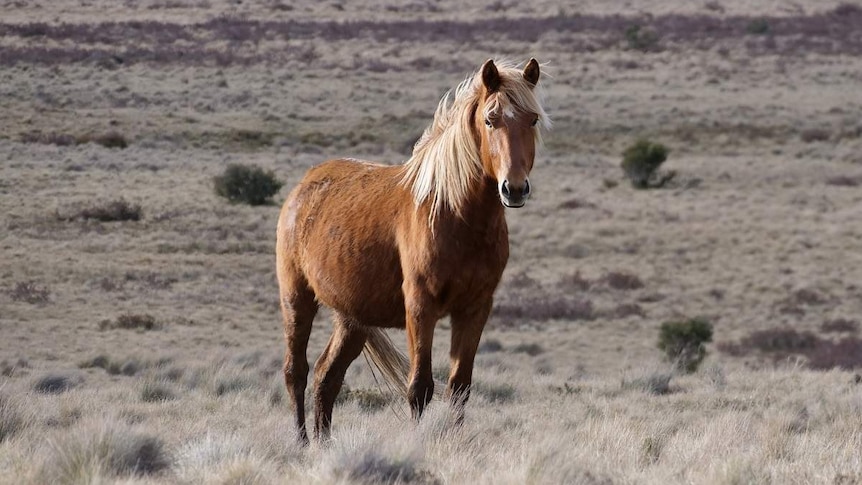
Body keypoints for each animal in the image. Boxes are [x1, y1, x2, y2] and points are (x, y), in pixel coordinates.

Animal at [276, 57, 548, 442]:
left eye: (533, 119)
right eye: (490, 119)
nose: (514, 189)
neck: (453, 213)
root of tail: (305, 186)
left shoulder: (475, 309)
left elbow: (460, 386)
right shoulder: (420, 307)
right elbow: (420, 386)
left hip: (352, 319)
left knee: (327, 377)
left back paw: (322, 444)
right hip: (297, 299)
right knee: (296, 371)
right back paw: (301, 442)